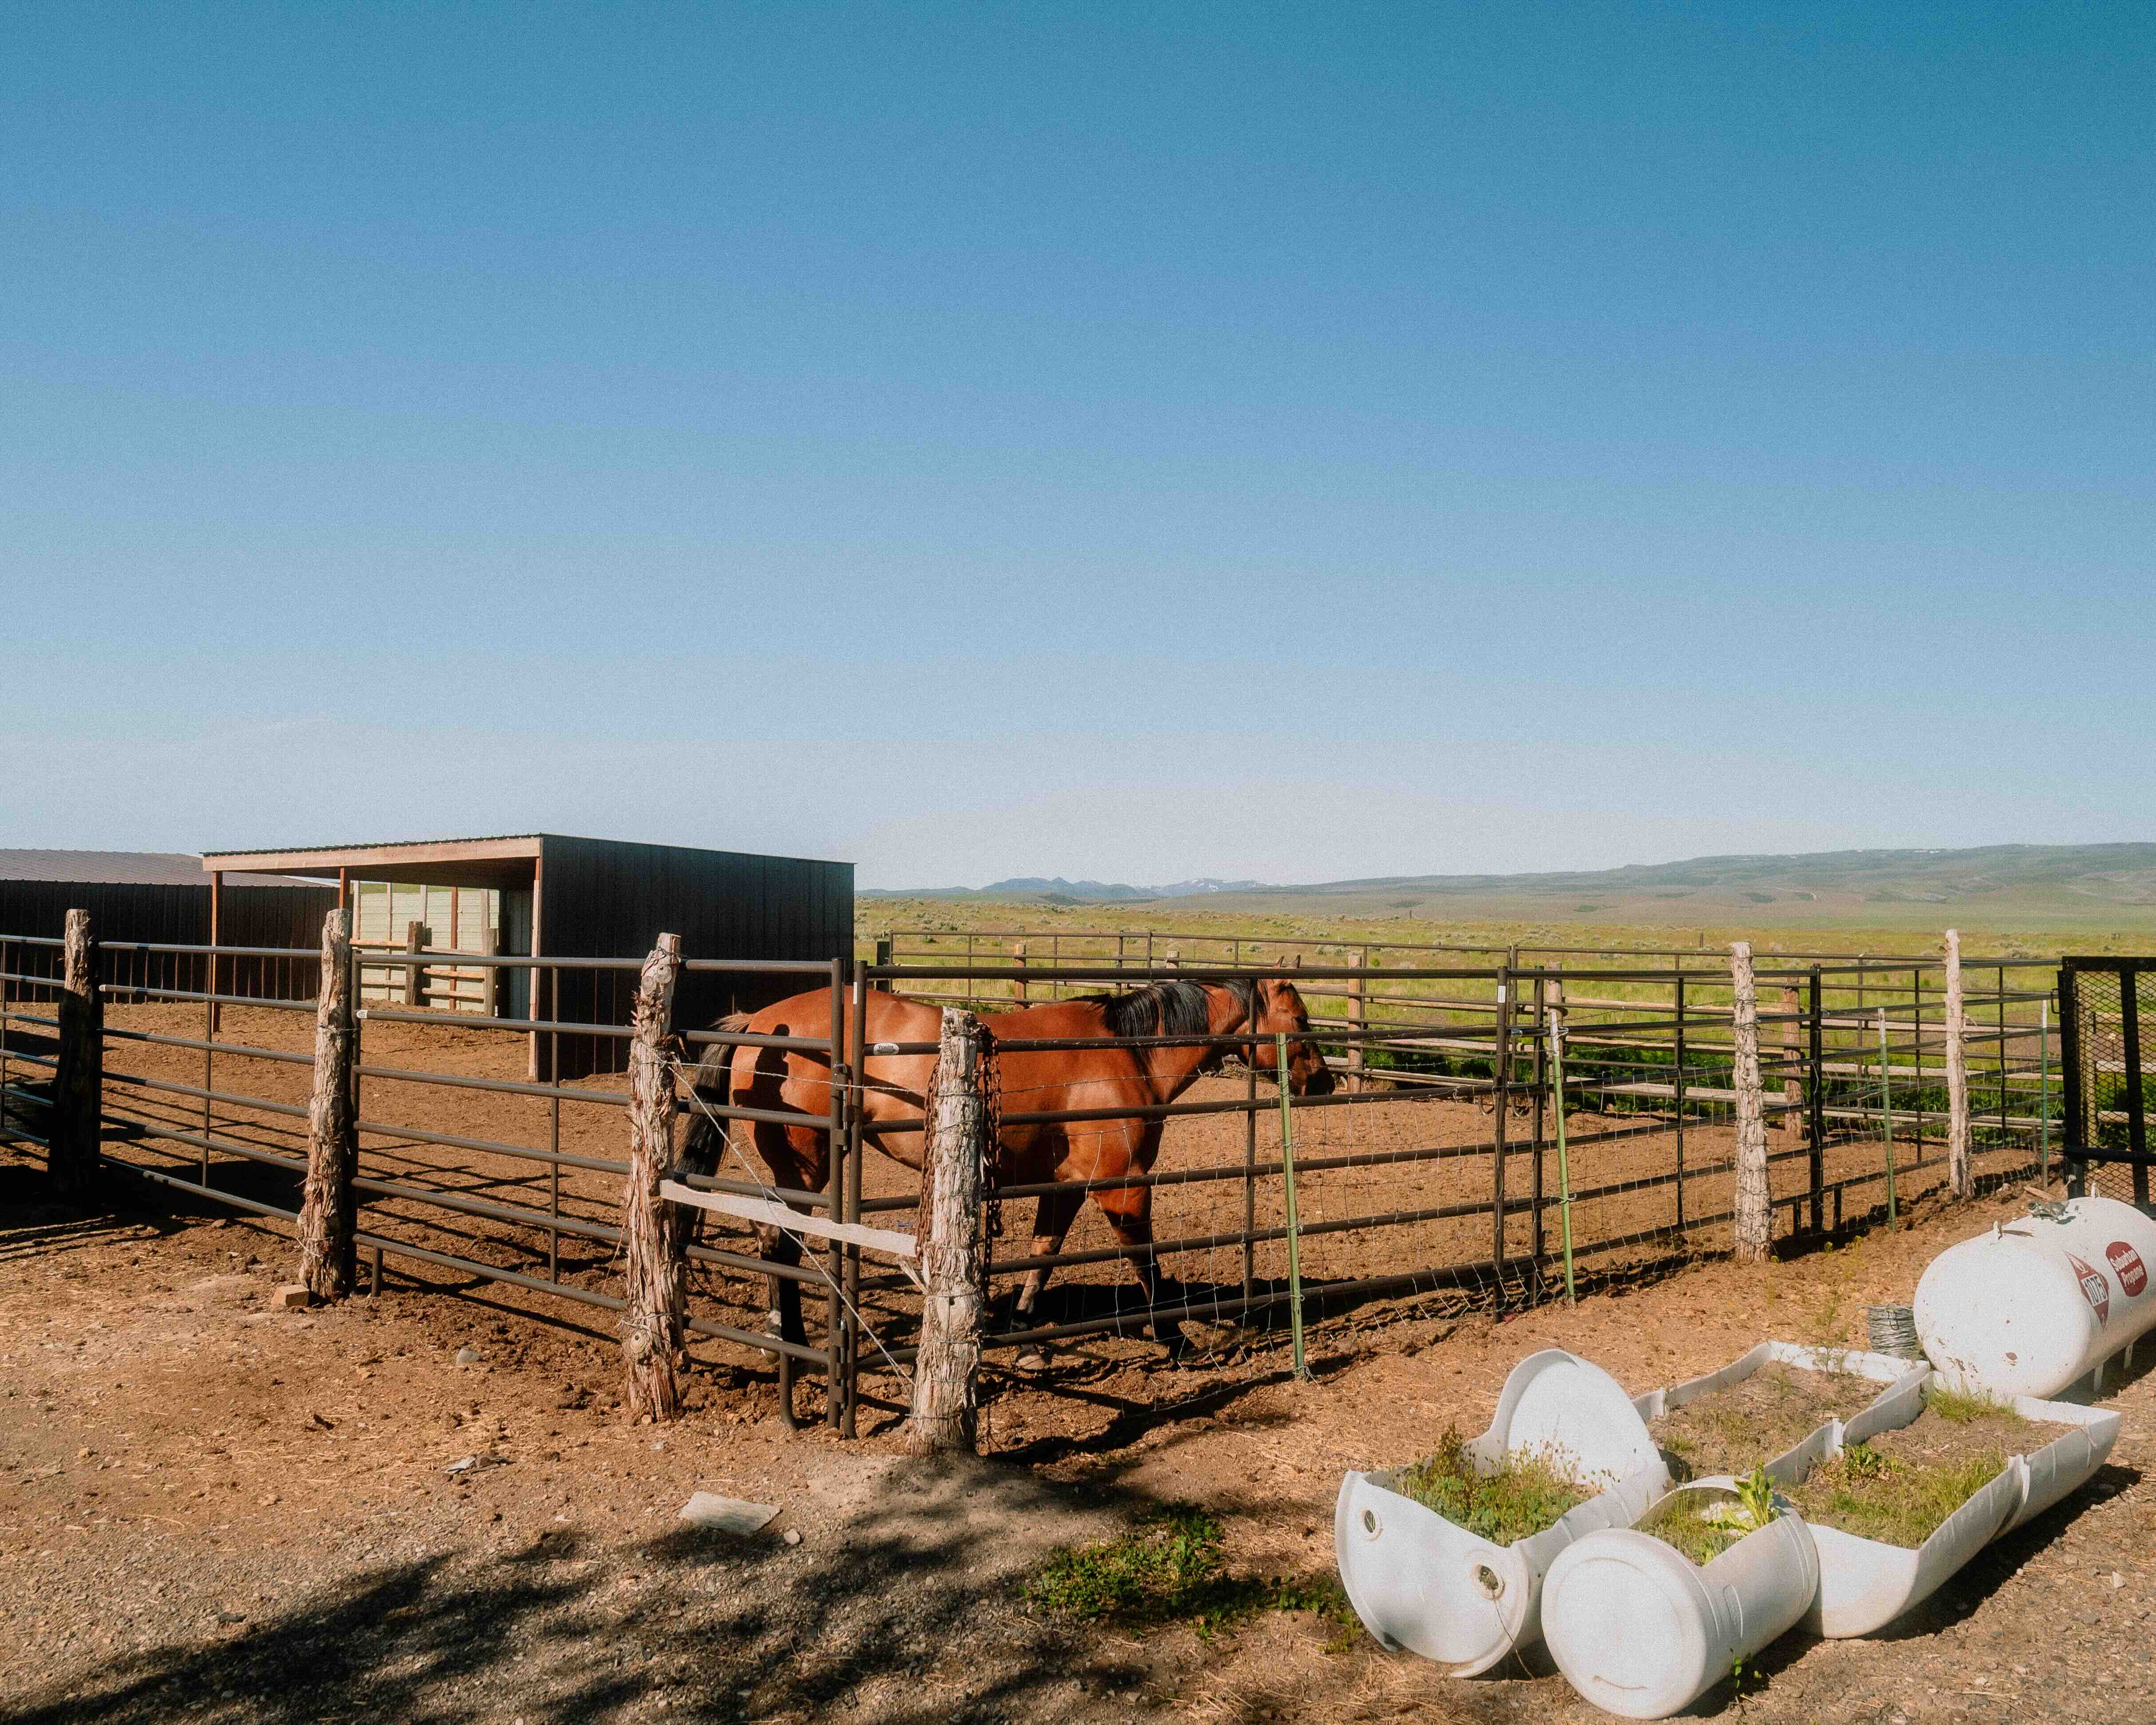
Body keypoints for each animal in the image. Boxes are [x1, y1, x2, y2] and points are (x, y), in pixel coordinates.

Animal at [677, 976, 1334, 1421]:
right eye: (1300, 1018)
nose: (1324, 1081)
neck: (1130, 1054)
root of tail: (759, 1021)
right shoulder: (1122, 1186)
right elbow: (1146, 1263)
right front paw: (1175, 1339)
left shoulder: (1067, 1186)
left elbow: (1044, 1255)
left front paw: (1023, 1337)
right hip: (805, 1169)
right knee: (779, 1241)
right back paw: (791, 1337)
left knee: (773, 1239)